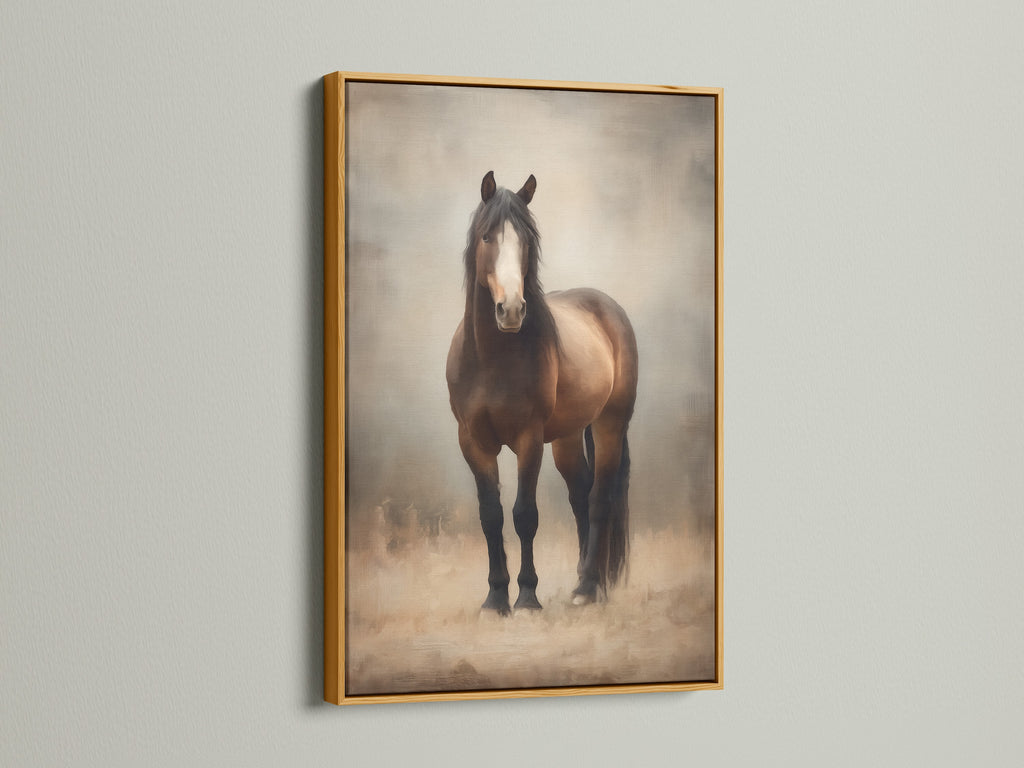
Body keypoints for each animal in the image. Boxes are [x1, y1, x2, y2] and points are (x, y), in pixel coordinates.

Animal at [446, 171, 639, 615]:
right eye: (487, 236)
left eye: (527, 241)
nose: (512, 310)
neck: (492, 359)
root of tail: (608, 308)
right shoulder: (472, 441)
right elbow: (491, 515)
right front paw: (495, 598)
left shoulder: (528, 439)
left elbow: (524, 515)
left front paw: (527, 598)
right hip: (568, 437)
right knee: (580, 495)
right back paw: (586, 580)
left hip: (609, 425)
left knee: (599, 497)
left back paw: (588, 588)